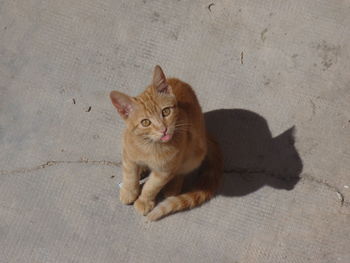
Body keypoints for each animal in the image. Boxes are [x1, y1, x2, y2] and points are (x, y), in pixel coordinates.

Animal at [110, 65, 223, 221]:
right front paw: (129, 191)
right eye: (145, 122)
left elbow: (151, 186)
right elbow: (129, 175)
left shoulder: (164, 171)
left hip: (195, 152)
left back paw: (173, 186)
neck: (150, 146)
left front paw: (144, 201)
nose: (163, 129)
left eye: (166, 112)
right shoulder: (128, 155)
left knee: (181, 170)